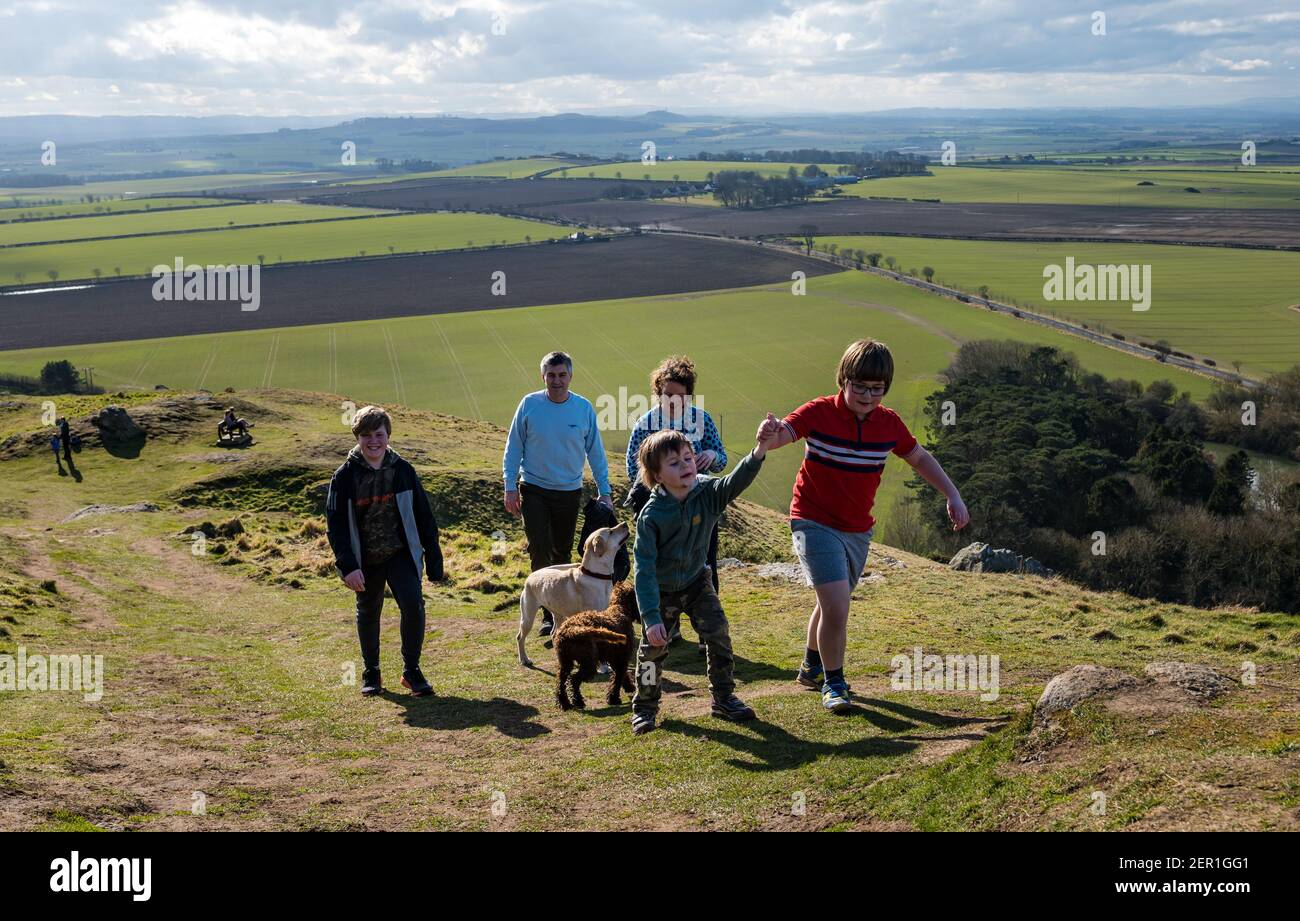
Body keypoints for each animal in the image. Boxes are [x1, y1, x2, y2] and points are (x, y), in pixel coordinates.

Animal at [517, 522, 629, 666]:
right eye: (610, 531)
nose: (625, 524)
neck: (595, 574)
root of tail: (530, 575)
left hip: (558, 615)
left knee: (553, 634)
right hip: (528, 617)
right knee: (520, 637)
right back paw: (524, 659)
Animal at [556, 582, 642, 712]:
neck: (620, 609)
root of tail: (571, 630)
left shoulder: (615, 658)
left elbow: (622, 675)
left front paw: (628, 687)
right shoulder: (622, 658)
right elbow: (618, 678)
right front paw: (613, 698)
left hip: (566, 662)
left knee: (561, 682)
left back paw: (564, 703)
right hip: (589, 664)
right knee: (574, 680)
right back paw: (578, 701)